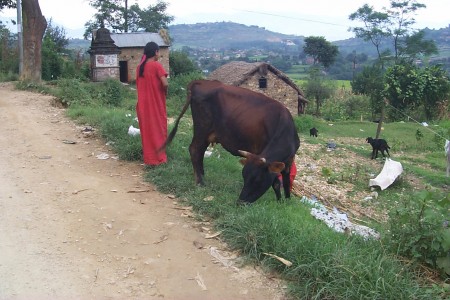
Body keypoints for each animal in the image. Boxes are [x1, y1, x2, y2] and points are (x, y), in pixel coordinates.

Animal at [160, 80, 300, 204]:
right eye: (244, 177)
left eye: (257, 180)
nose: (240, 202)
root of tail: (203, 81)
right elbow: (276, 182)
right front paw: (280, 201)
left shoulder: (289, 160)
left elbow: (286, 182)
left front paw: (286, 202)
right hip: (202, 128)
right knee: (194, 150)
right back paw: (200, 182)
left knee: (199, 152)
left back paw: (202, 176)